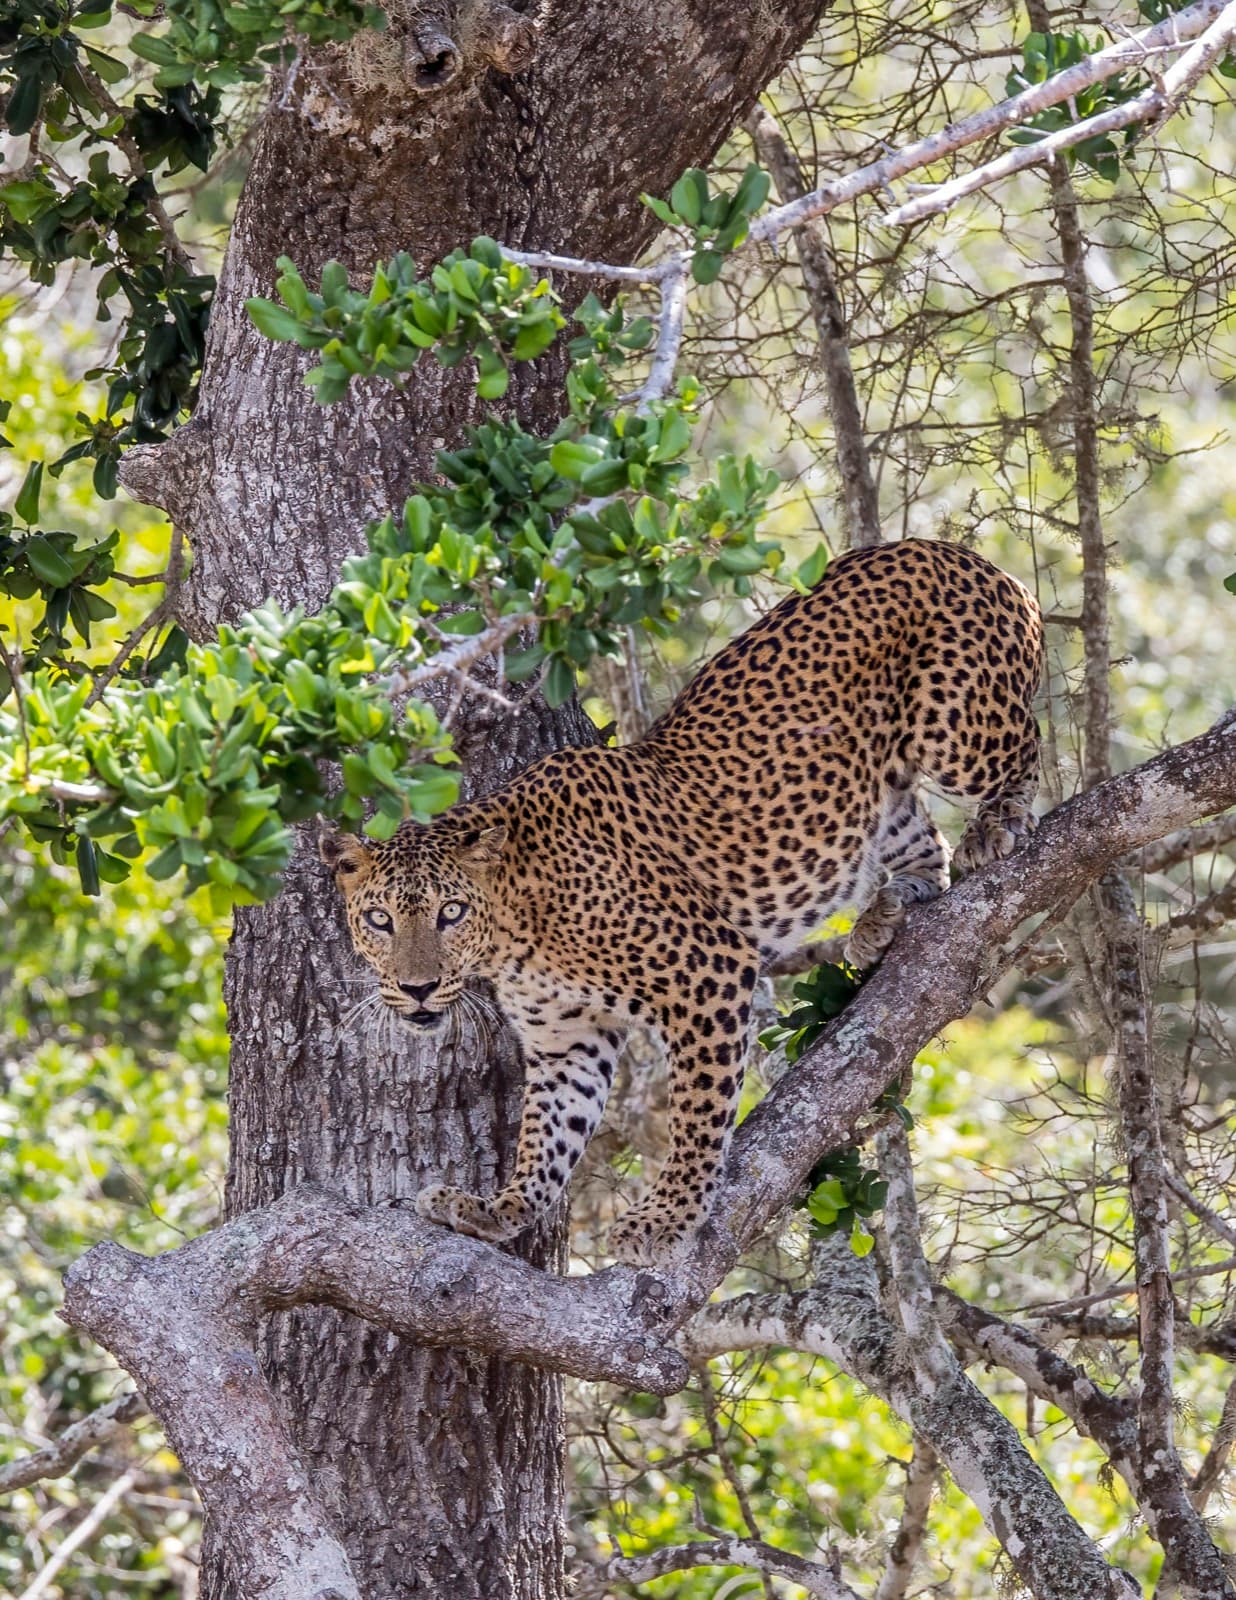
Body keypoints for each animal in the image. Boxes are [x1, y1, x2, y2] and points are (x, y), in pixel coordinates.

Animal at [321, 537, 1043, 1266]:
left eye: (451, 914)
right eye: (380, 920)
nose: (418, 988)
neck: (514, 934)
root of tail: (946, 548)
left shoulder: (707, 971)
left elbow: (698, 1108)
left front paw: (667, 1214)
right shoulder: (567, 1040)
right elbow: (547, 1134)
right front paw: (501, 1208)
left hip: (955, 723)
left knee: (1026, 742)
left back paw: (996, 826)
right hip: (877, 790)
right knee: (923, 843)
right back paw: (883, 917)